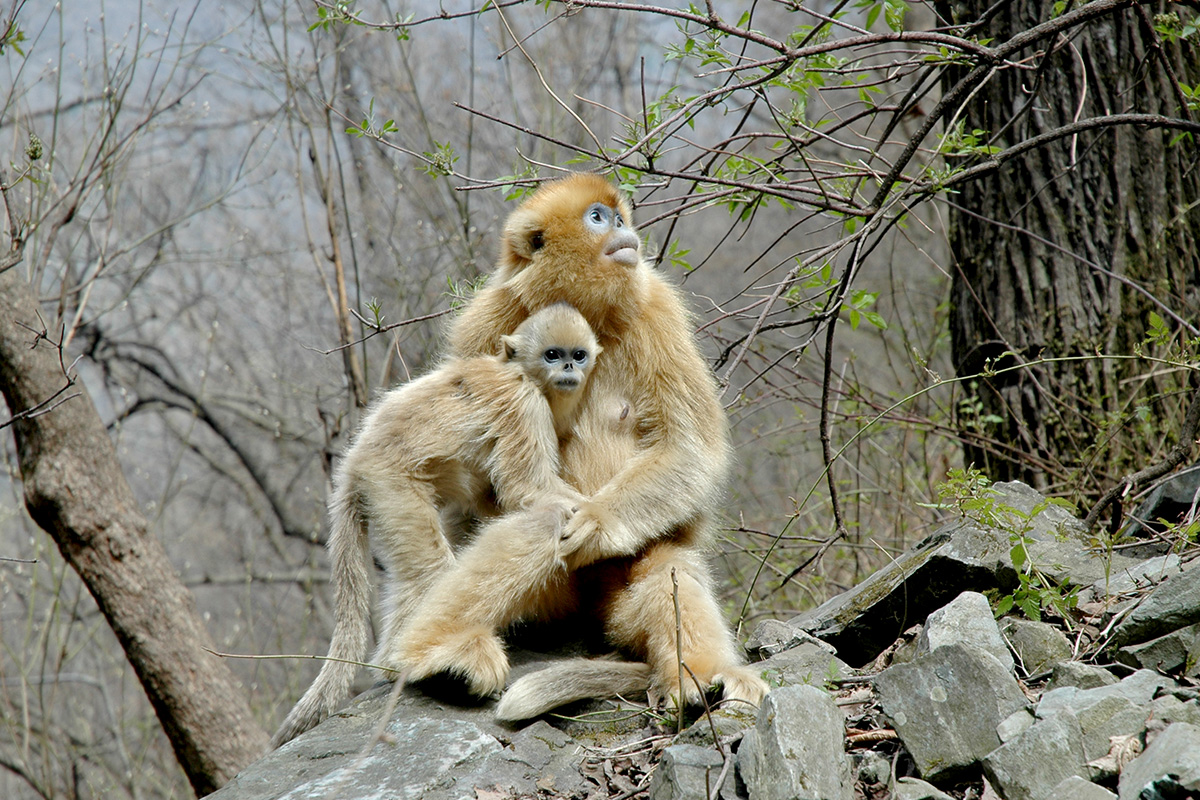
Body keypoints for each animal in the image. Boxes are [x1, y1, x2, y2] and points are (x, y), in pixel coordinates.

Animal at [267, 303, 595, 748]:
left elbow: (494, 497)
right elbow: (525, 490)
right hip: (389, 483)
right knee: (428, 570)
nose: (568, 367)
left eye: (578, 355)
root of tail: (352, 465)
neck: (519, 372)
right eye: (552, 355)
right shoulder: (522, 403)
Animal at [434, 173, 768, 719]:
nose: (623, 230)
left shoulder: (656, 307)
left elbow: (687, 448)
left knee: (665, 564)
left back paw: (700, 676)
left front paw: (596, 522)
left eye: (619, 216)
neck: (581, 311)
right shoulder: (487, 321)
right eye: (597, 217)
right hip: (555, 604)